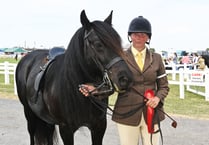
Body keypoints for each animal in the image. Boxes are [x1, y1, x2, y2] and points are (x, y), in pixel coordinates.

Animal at [15, 10, 133, 145]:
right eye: (98, 44)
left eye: (118, 43)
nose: (125, 78)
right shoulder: (66, 129)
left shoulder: (99, 127)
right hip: (29, 114)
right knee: (32, 133)